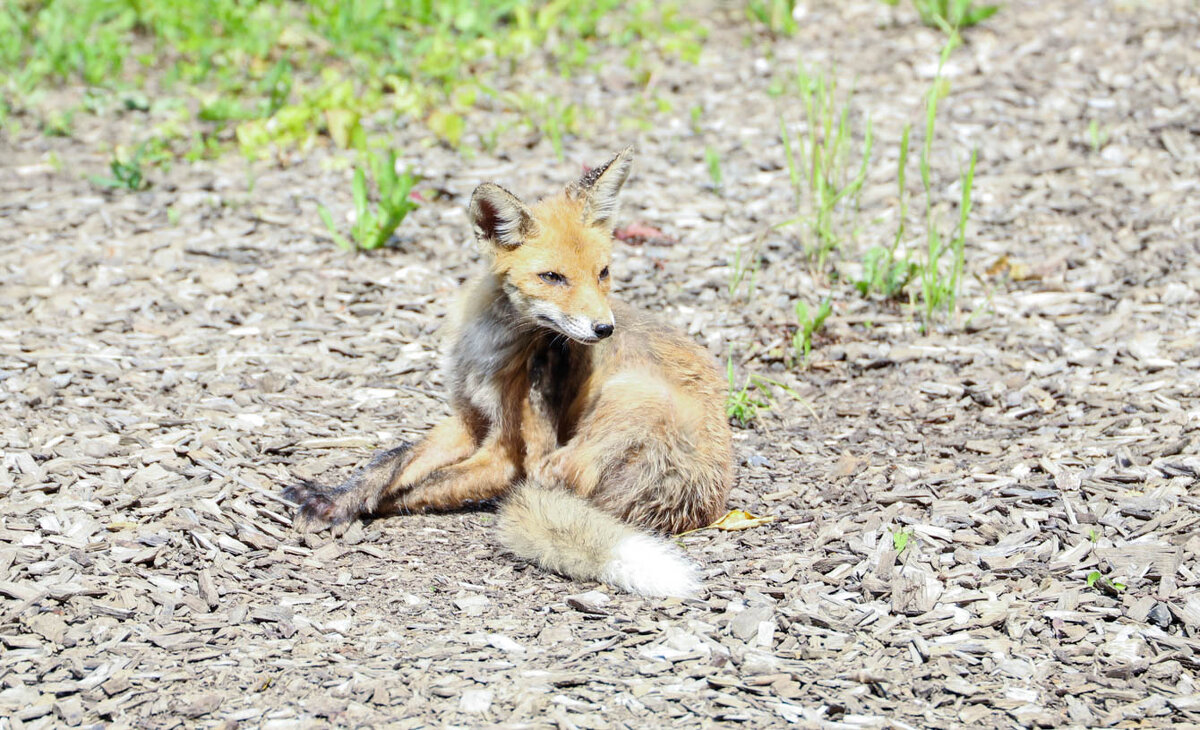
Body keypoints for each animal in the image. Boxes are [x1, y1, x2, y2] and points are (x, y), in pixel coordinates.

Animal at [285, 148, 734, 597]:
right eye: (552, 277)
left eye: (602, 273)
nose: (604, 329)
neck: (489, 350)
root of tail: (686, 504)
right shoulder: (467, 420)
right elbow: (391, 463)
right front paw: (335, 497)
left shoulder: (501, 454)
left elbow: (422, 486)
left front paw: (351, 505)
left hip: (630, 395)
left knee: (547, 472)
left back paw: (544, 381)